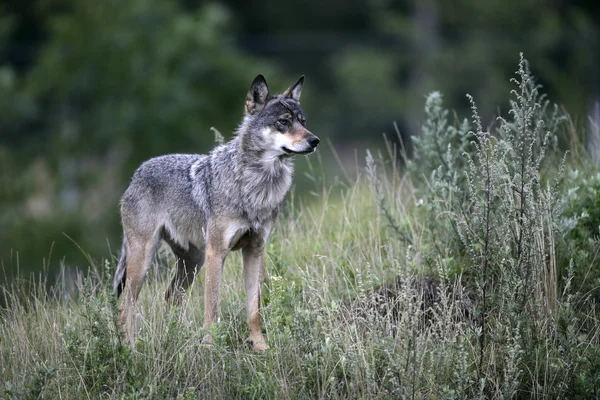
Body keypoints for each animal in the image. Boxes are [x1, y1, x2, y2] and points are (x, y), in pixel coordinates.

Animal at [112, 74, 318, 350]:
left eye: (302, 122)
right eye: (283, 122)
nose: (314, 140)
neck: (254, 186)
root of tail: (137, 173)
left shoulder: (255, 250)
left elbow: (253, 309)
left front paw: (260, 346)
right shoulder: (216, 253)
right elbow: (212, 309)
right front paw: (209, 347)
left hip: (192, 263)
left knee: (170, 296)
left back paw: (178, 336)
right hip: (144, 261)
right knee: (126, 305)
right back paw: (130, 350)